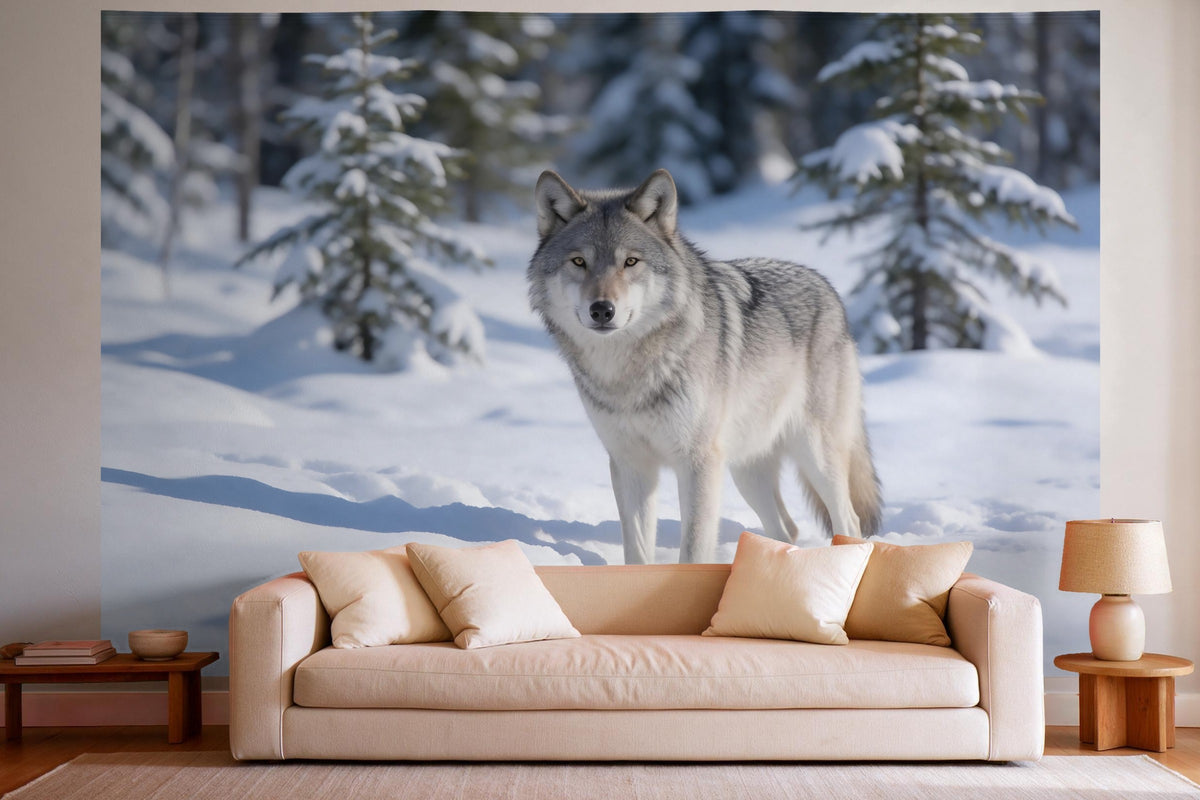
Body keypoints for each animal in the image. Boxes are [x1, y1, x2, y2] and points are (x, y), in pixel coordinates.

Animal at [528, 169, 881, 564]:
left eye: (630, 262)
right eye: (579, 262)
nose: (602, 310)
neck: (627, 373)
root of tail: (827, 288)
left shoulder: (698, 463)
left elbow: (694, 549)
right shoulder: (630, 464)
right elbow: (637, 551)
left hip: (814, 454)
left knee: (848, 519)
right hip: (745, 470)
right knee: (787, 528)